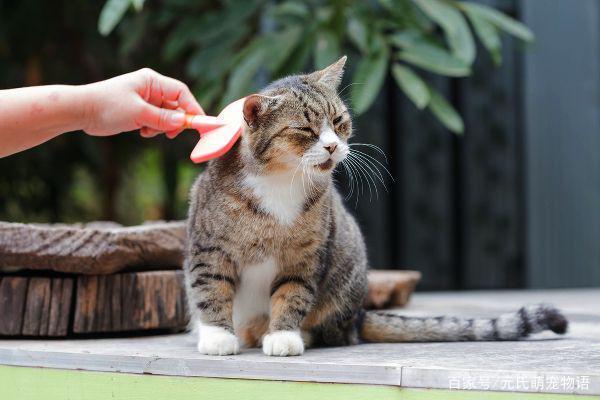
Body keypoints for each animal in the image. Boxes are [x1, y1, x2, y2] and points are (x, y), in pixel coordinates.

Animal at [184, 57, 568, 356]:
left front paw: (283, 336)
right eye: (306, 129)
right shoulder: (209, 248)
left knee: (337, 331)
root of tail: (360, 315)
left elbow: (292, 294)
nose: (332, 146)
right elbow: (211, 288)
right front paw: (217, 337)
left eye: (338, 121)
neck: (282, 181)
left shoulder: (305, 256)